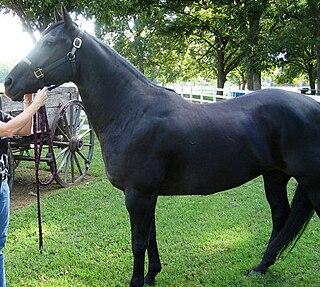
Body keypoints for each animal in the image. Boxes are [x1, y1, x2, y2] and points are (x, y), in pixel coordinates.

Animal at [3, 6, 318, 287]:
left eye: (49, 43)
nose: (9, 82)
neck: (132, 112)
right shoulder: (147, 194)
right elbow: (151, 236)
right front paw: (152, 274)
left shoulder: (138, 194)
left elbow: (138, 241)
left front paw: (136, 281)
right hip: (274, 176)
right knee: (280, 217)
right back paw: (261, 266)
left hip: (309, 182)